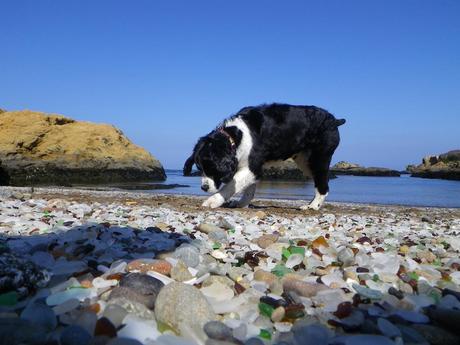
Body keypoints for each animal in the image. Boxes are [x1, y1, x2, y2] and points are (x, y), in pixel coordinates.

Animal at [183, 103, 344, 210]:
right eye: (199, 168)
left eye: (211, 168)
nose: (204, 187)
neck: (236, 136)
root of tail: (334, 120)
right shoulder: (248, 167)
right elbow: (248, 189)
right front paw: (242, 204)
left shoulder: (252, 168)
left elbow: (230, 186)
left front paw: (213, 201)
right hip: (304, 162)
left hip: (317, 159)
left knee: (323, 185)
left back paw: (313, 206)